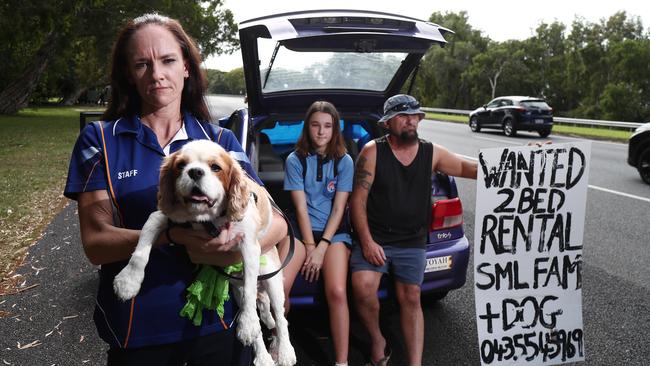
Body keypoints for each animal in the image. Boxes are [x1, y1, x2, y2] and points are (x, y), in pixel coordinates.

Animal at [112, 139, 294, 366]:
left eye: (215, 167)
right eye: (181, 165)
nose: (195, 172)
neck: (207, 220)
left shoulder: (249, 246)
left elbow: (251, 290)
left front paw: (248, 324)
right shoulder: (164, 216)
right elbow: (141, 247)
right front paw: (128, 281)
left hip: (271, 276)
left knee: (279, 316)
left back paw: (284, 352)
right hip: (237, 288)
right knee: (257, 320)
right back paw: (263, 357)